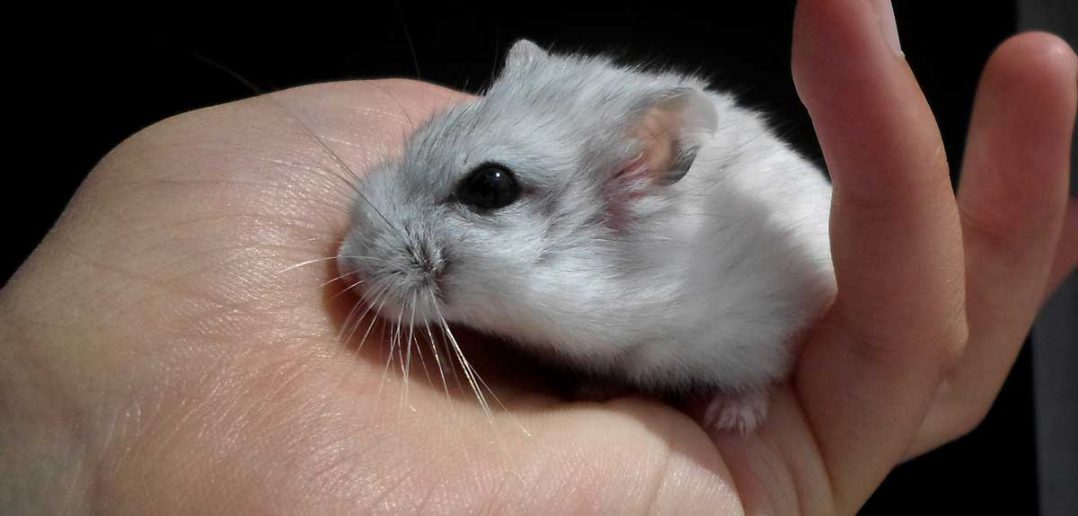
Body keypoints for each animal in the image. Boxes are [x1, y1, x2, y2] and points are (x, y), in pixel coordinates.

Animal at [337, 39, 835, 433]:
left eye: (491, 187)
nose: (346, 265)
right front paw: (594, 388)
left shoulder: (762, 327)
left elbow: (757, 378)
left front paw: (731, 420)